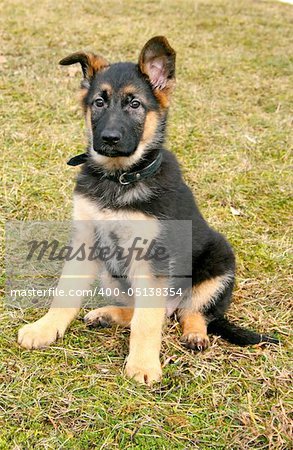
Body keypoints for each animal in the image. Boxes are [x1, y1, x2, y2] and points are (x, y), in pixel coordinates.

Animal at [17, 37, 278, 384]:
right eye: (99, 103)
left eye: (135, 104)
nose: (108, 138)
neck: (120, 178)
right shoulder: (86, 239)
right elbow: (66, 291)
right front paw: (45, 329)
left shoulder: (153, 255)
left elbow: (148, 322)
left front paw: (142, 365)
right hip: (112, 271)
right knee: (145, 310)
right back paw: (108, 315)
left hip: (219, 264)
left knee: (188, 311)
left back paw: (194, 334)